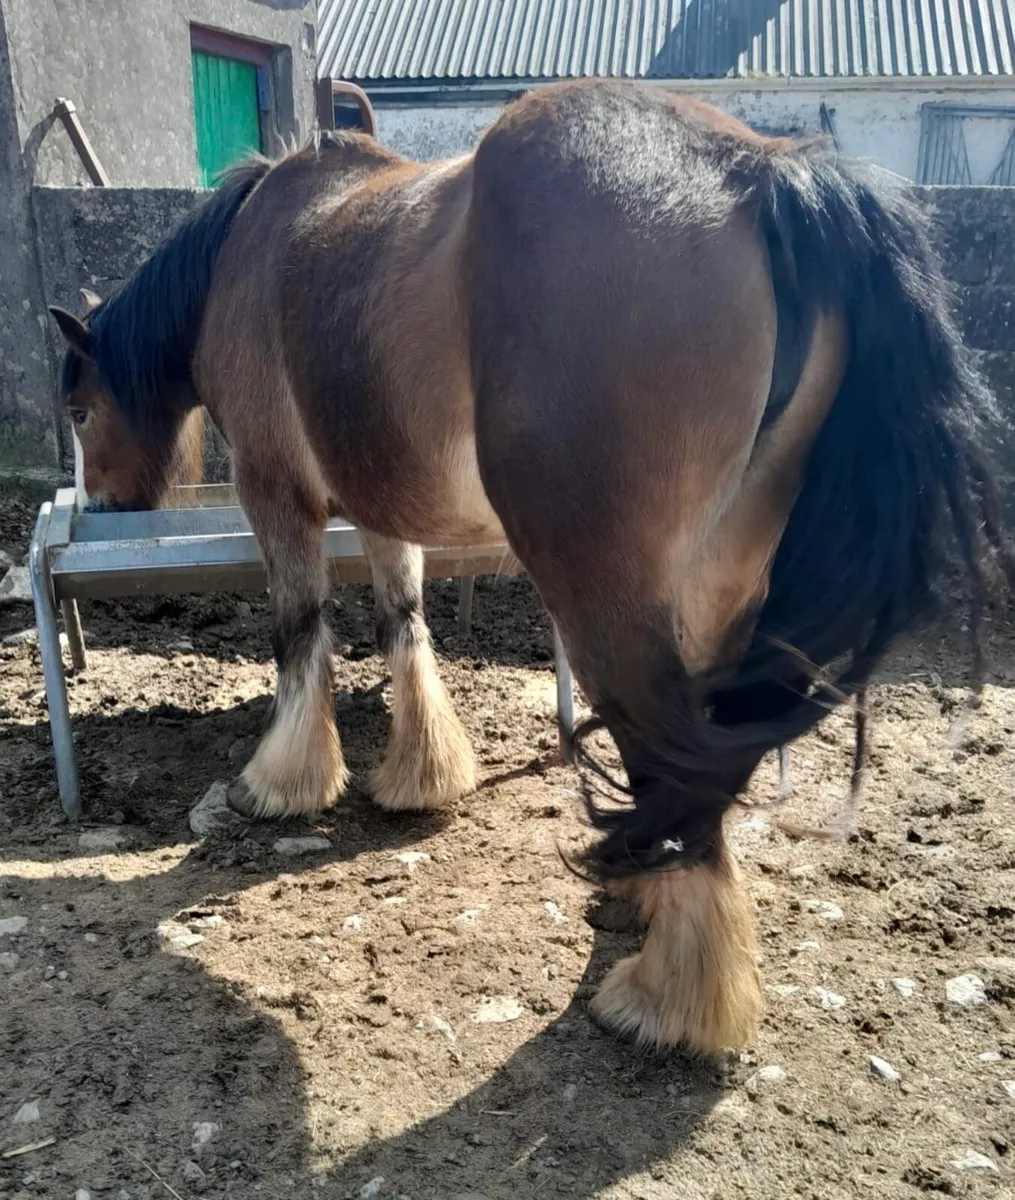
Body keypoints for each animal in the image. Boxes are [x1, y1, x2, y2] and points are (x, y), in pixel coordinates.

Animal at [49, 81, 1005, 1057]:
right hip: (719, 590)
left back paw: (667, 998)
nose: (110, 502)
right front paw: (420, 774)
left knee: (672, 760)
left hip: (608, 600)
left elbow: (298, 631)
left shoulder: (277, 491)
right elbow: (402, 623)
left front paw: (280, 783)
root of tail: (756, 172)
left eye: (79, 408)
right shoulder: (380, 507)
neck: (254, 248)